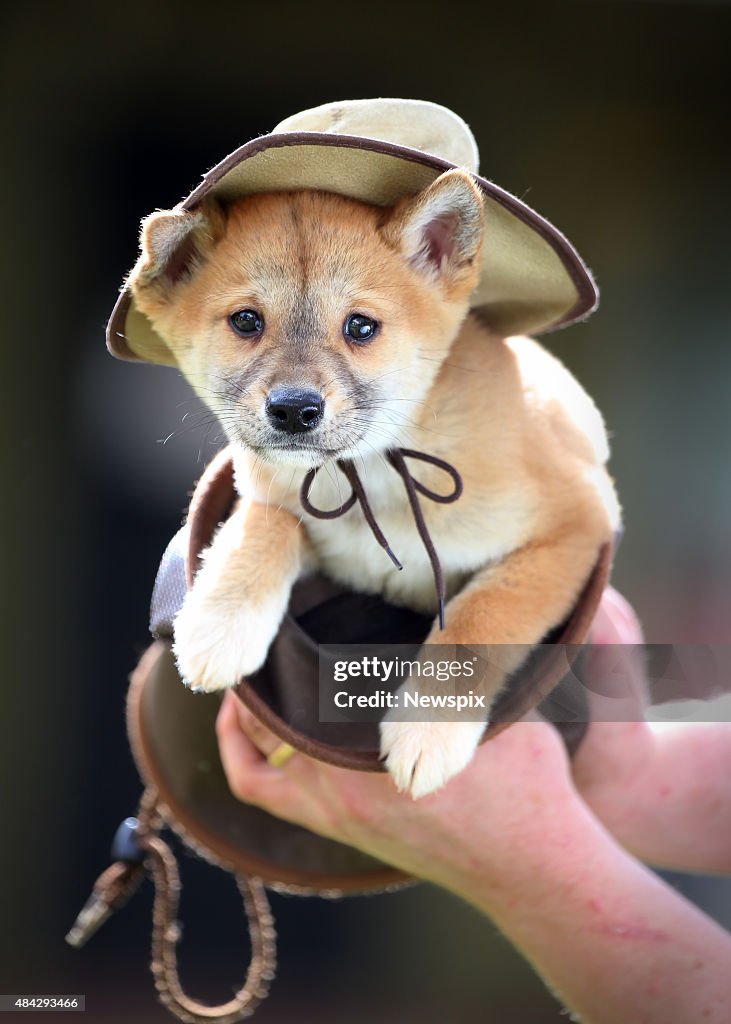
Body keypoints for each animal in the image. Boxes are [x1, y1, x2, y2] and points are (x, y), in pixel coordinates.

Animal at [127, 167, 618, 794]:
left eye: (360, 326)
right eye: (246, 321)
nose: (293, 411)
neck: (370, 472)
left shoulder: (576, 524)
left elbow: (483, 616)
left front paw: (430, 728)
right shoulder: (274, 496)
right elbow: (265, 526)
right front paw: (221, 622)